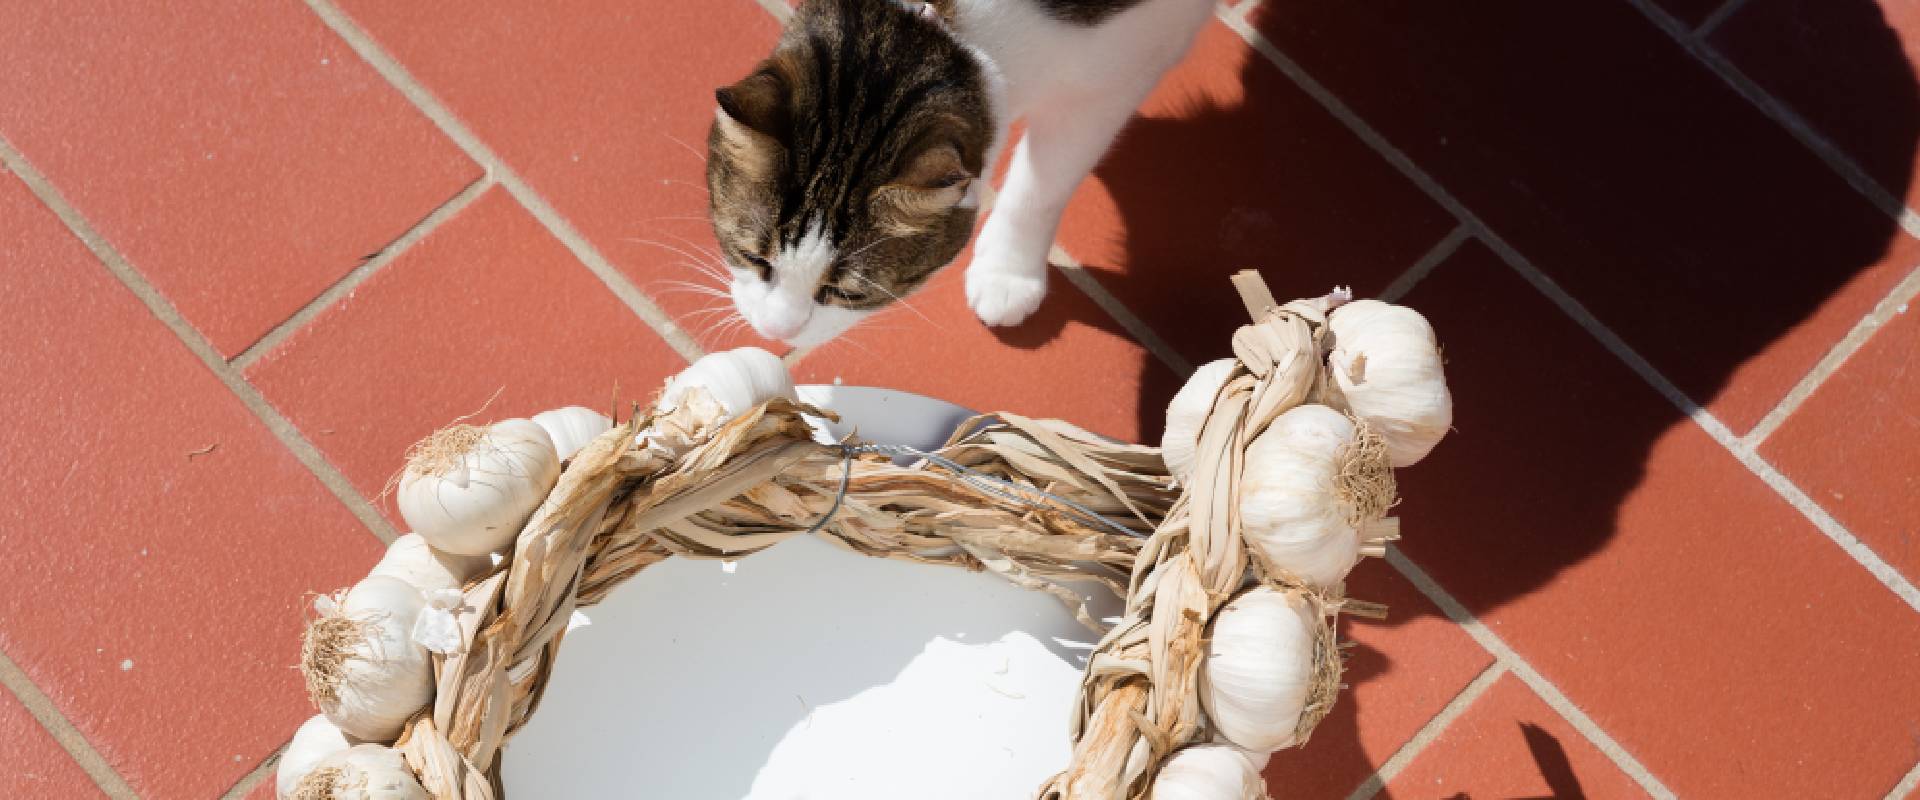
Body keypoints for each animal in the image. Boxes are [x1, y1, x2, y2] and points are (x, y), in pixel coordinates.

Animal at [706, 0, 1213, 345]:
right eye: (751, 257)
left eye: (846, 294)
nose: (774, 332)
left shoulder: (1121, 71)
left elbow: (1046, 180)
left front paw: (1008, 270)